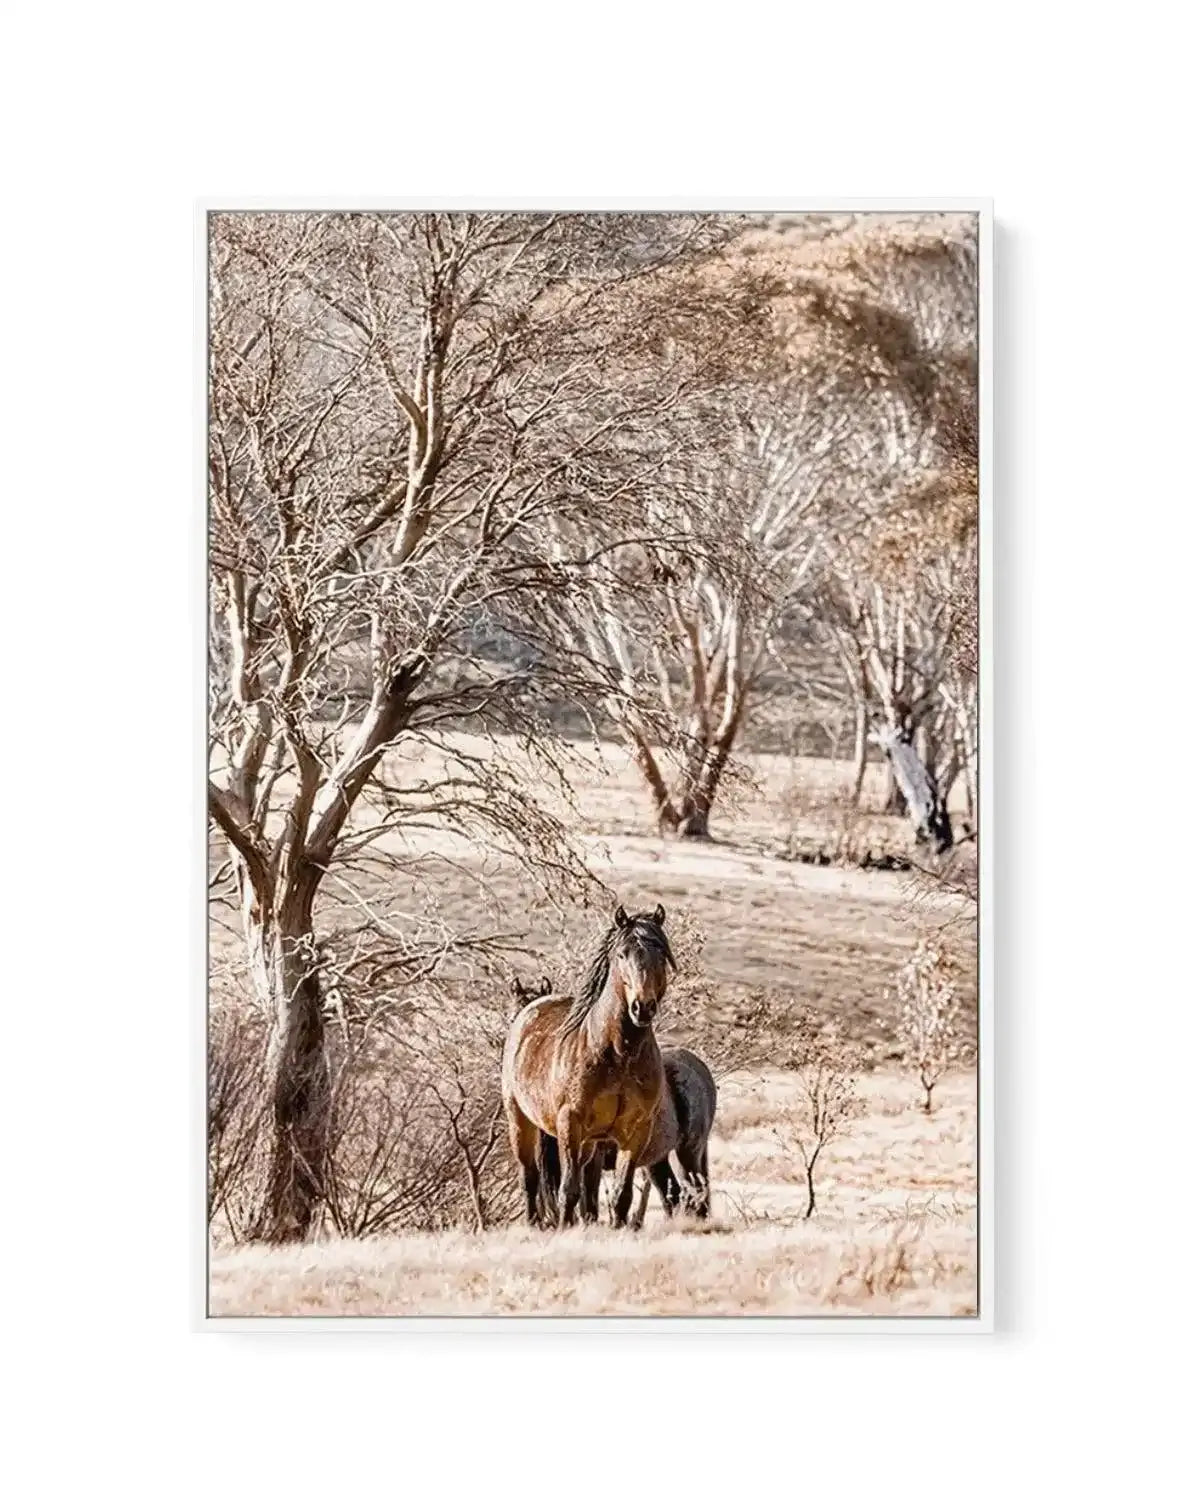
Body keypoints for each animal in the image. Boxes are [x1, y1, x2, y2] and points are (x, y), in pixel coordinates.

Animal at [501, 904, 675, 1228]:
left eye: (660, 953)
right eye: (622, 954)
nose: (642, 1007)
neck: (618, 1053)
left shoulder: (635, 1131)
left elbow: (620, 1195)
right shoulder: (570, 1124)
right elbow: (568, 1190)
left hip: (591, 1143)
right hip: (522, 1122)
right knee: (530, 1177)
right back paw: (535, 1223)